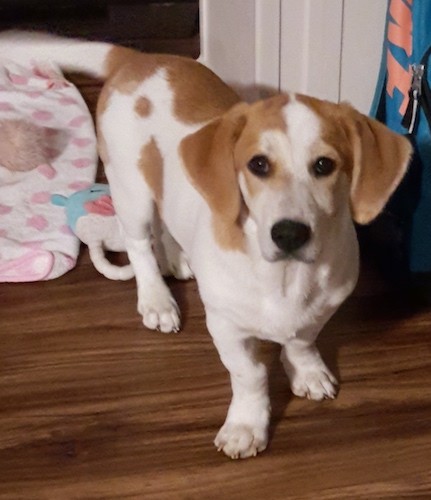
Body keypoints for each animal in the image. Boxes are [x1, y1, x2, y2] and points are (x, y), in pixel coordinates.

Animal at [0, 31, 416, 458]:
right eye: (258, 165)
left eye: (324, 166)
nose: (289, 234)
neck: (285, 277)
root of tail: (138, 60)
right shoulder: (225, 326)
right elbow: (249, 374)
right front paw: (247, 425)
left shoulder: (321, 309)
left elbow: (301, 341)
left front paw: (308, 371)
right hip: (130, 191)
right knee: (139, 245)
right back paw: (157, 300)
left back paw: (177, 260)